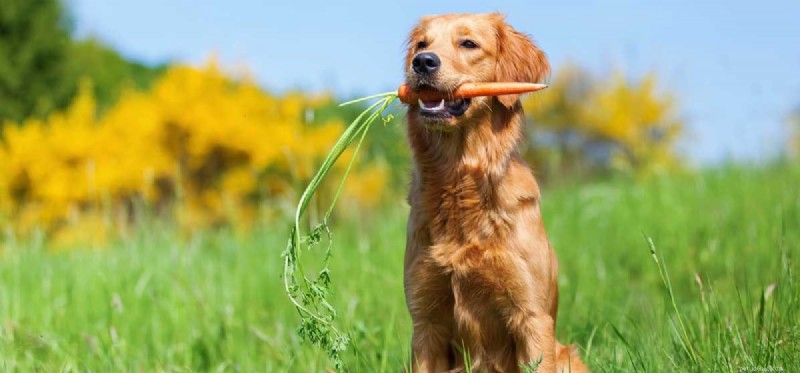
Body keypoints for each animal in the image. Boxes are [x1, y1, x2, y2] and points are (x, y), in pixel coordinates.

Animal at [406, 13, 588, 370]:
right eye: (422, 44)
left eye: (469, 43)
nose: (422, 62)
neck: (459, 181)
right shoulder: (426, 322)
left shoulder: (531, 317)